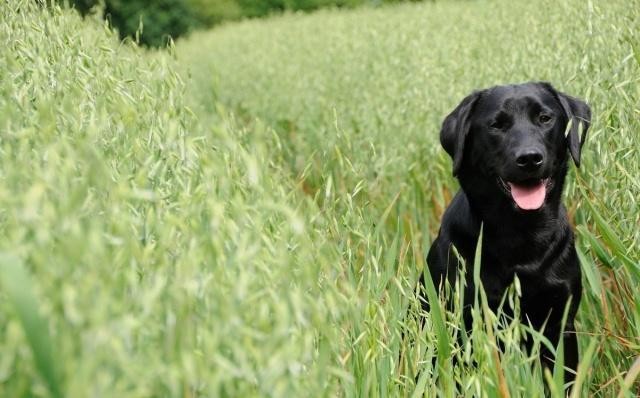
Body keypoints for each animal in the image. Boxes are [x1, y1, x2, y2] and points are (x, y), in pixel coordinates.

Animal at [422, 81, 592, 382]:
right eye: (496, 125)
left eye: (545, 118)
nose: (530, 158)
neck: (521, 235)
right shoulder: (467, 324)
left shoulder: (559, 326)